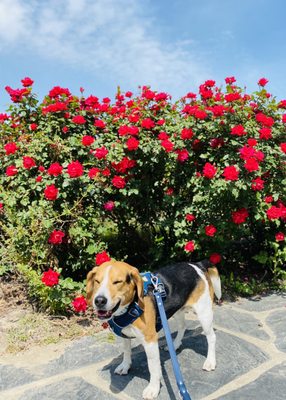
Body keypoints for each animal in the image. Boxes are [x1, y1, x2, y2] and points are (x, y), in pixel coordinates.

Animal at [86, 260, 221, 398]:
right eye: (97, 281)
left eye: (118, 282)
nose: (99, 300)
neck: (131, 306)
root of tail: (197, 265)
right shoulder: (125, 335)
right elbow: (126, 351)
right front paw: (125, 366)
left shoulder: (150, 340)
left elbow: (153, 367)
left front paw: (153, 388)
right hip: (177, 310)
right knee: (182, 326)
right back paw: (175, 345)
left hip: (204, 313)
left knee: (211, 337)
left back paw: (210, 361)